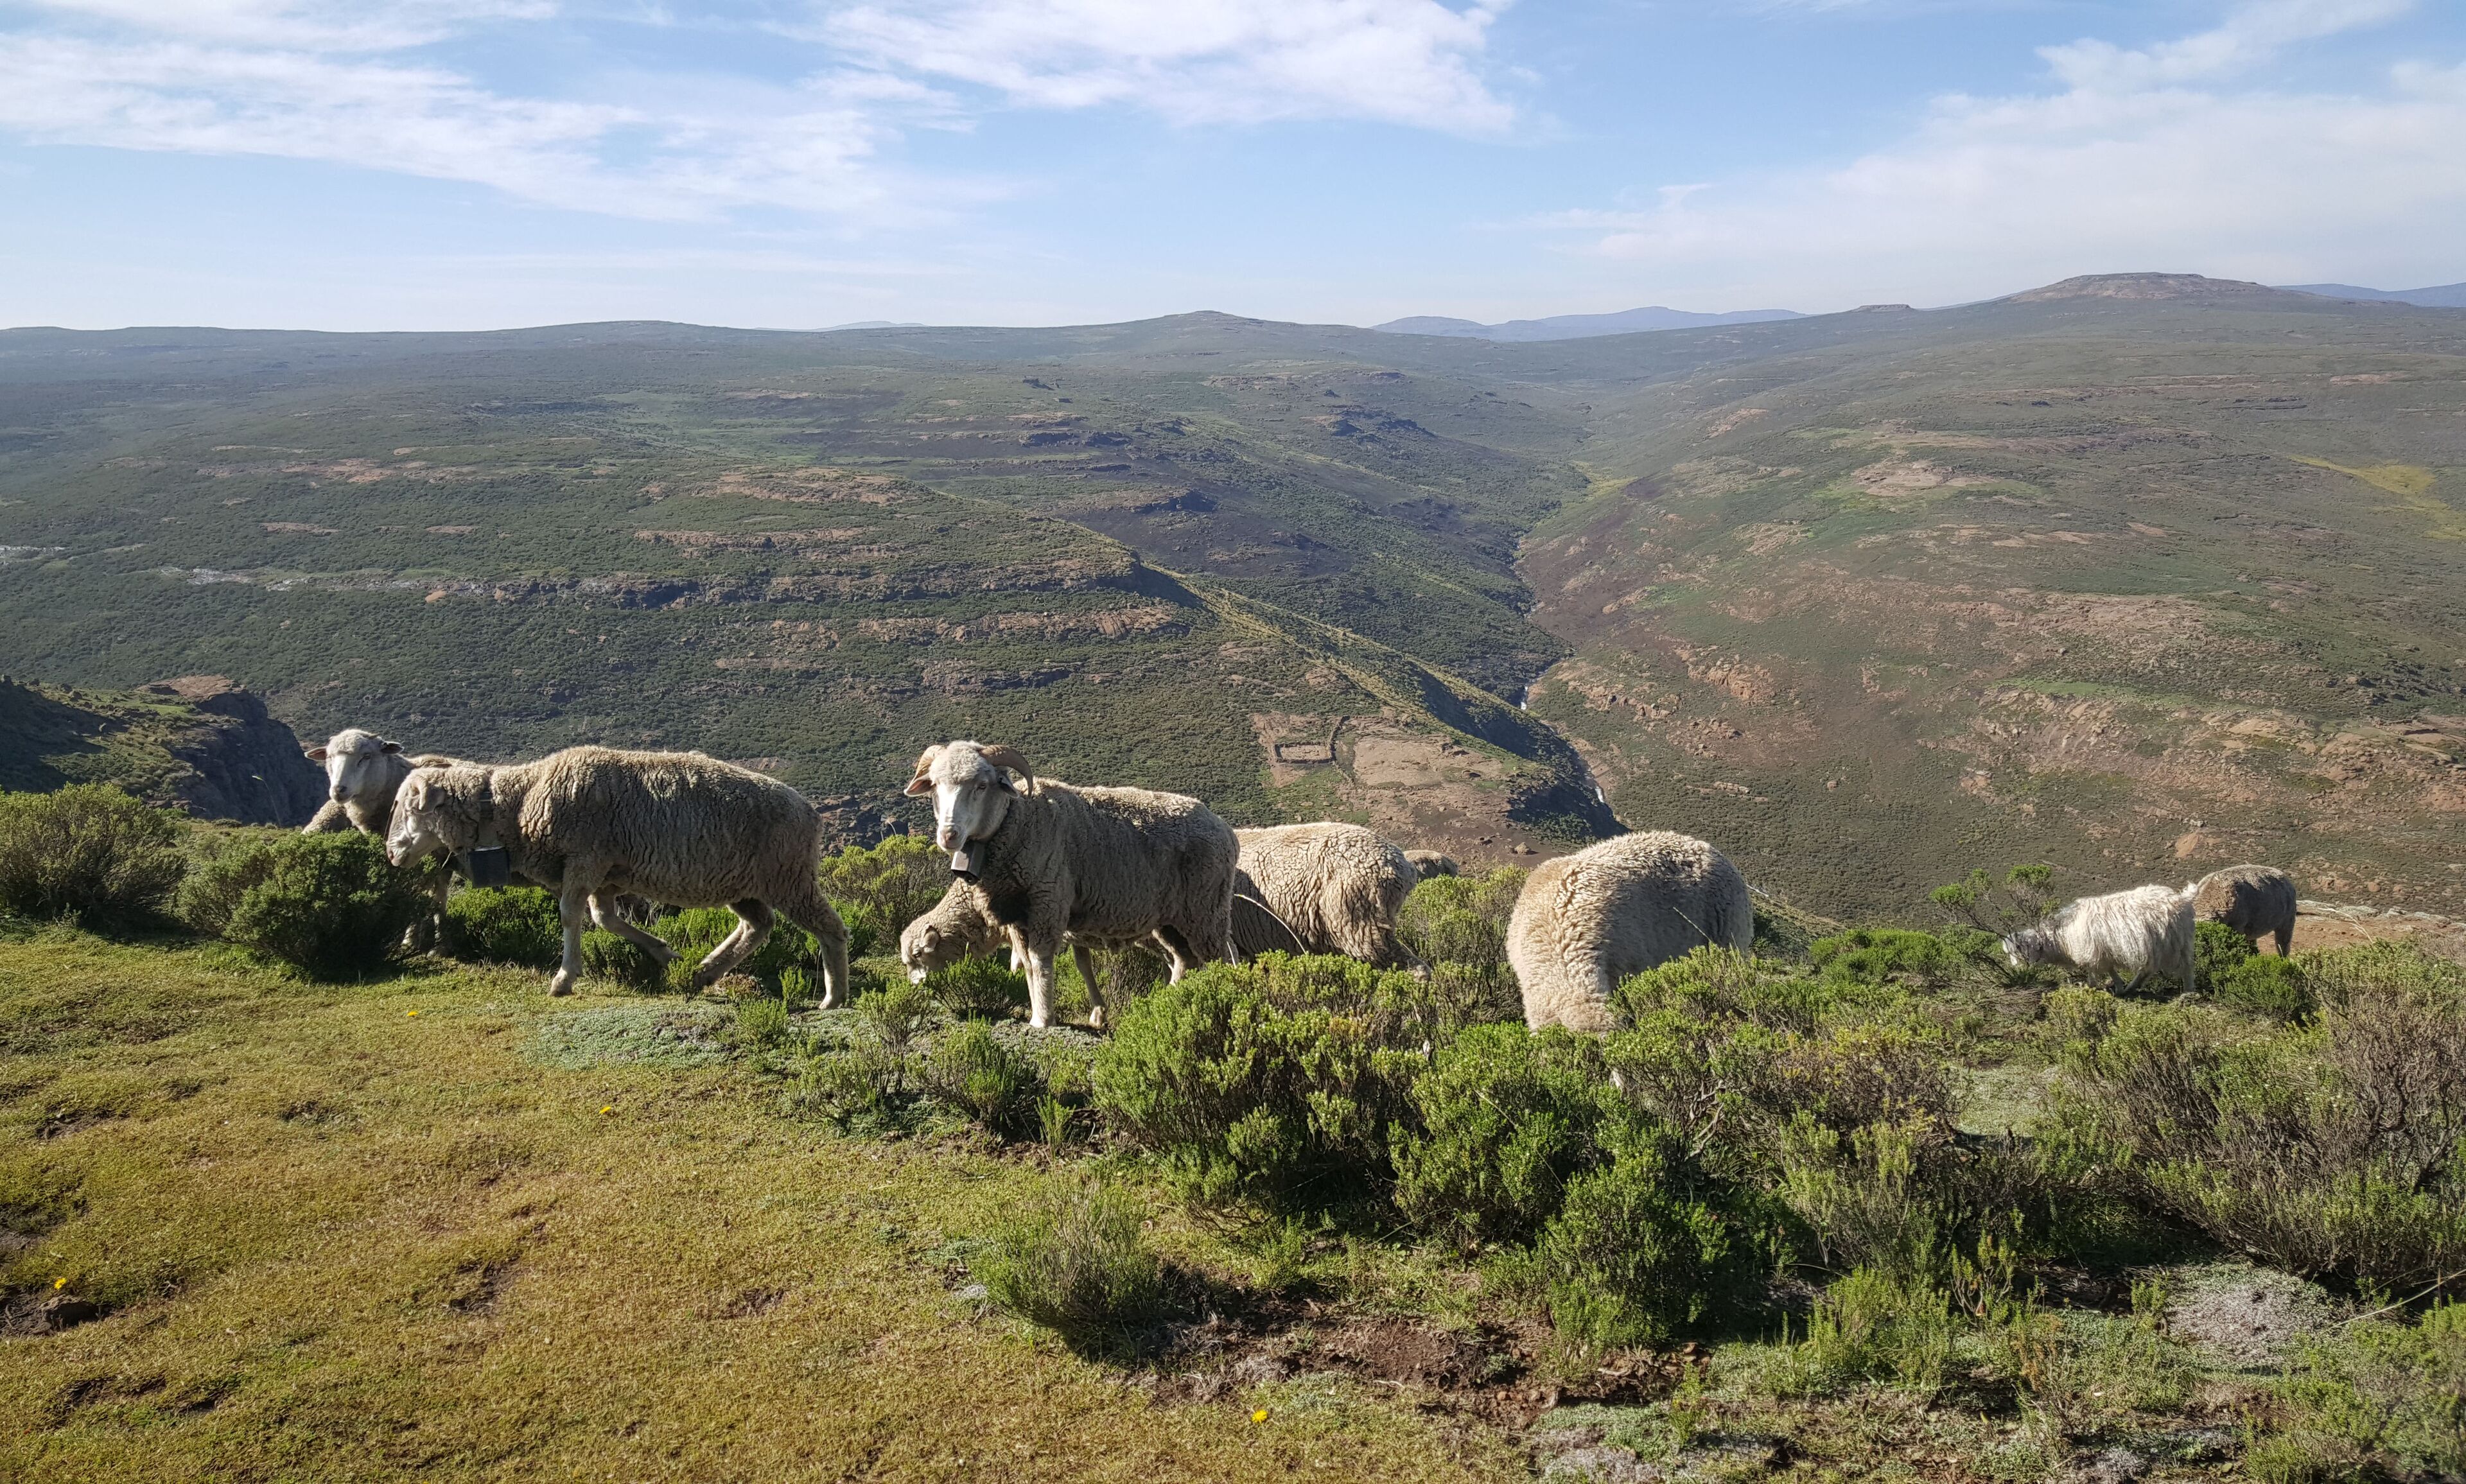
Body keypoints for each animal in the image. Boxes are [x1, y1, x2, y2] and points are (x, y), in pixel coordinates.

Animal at [385, 746, 849, 1003]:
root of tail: (810, 813)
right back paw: (706, 970)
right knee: (758, 926)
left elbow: (571, 916)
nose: (391, 853)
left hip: (789, 876)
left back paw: (834, 996)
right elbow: (605, 919)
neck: (516, 804)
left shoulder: (583, 859)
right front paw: (665, 953)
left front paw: (564, 978)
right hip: (745, 884)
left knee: (831, 929)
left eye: (410, 807)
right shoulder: (605, 874)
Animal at [906, 740, 1237, 1030]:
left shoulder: (1047, 901)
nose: (948, 835)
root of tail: (1225, 828)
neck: (1019, 819)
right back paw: (1167, 1007)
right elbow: (1029, 965)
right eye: (934, 786)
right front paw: (1039, 1014)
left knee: (1216, 960)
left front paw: (1044, 1020)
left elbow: (1040, 961)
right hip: (1172, 920)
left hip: (1207, 911)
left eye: (982, 786)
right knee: (1184, 960)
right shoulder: (1016, 916)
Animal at [2002, 883, 2195, 994]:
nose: (2017, 972)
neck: (2060, 938)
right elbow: (2110, 970)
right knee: (2149, 970)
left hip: (2176, 943)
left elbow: (2093, 972)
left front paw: (2093, 986)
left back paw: (2188, 992)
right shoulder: (2103, 953)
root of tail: (2181, 897)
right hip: (2167, 945)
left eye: (2018, 953)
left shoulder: (2092, 951)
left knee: (2186, 968)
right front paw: (2118, 987)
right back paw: (2133, 987)